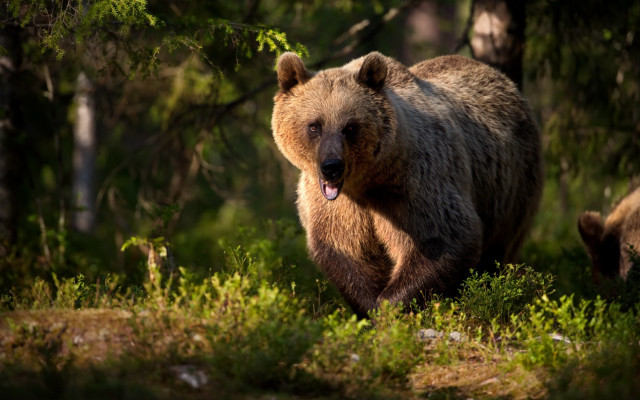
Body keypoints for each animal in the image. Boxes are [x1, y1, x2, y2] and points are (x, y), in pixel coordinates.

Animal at [271, 52, 544, 318]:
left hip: (512, 189)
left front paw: (390, 307)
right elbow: (345, 249)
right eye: (314, 125)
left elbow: (443, 239)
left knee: (497, 252)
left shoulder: (415, 184)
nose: (332, 166)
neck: (367, 182)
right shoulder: (337, 207)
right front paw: (370, 307)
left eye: (350, 126)